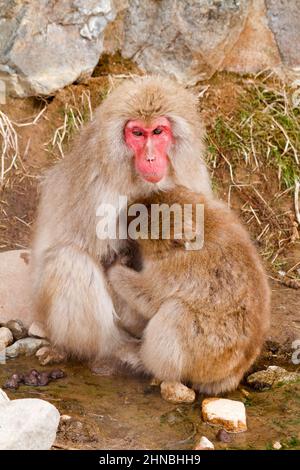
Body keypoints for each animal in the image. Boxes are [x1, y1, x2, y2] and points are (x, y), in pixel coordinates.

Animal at [108, 185, 272, 394]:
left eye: (140, 221)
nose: (124, 212)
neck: (205, 224)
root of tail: (234, 374)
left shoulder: (175, 268)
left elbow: (149, 296)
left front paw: (114, 268)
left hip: (202, 354)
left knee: (175, 311)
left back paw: (143, 361)